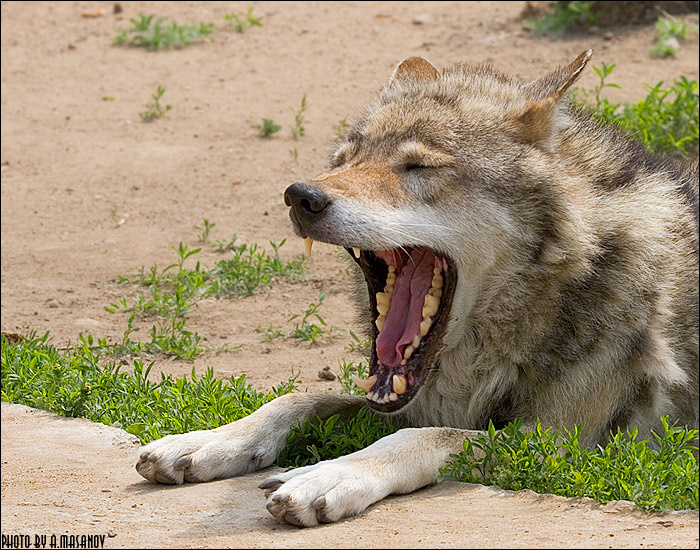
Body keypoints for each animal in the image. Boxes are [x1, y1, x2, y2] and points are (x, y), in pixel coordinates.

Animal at [136, 51, 699, 527]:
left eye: (419, 166)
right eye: (342, 161)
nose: (301, 196)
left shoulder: (561, 446)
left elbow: (423, 436)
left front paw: (330, 473)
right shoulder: (394, 400)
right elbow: (301, 397)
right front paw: (209, 441)